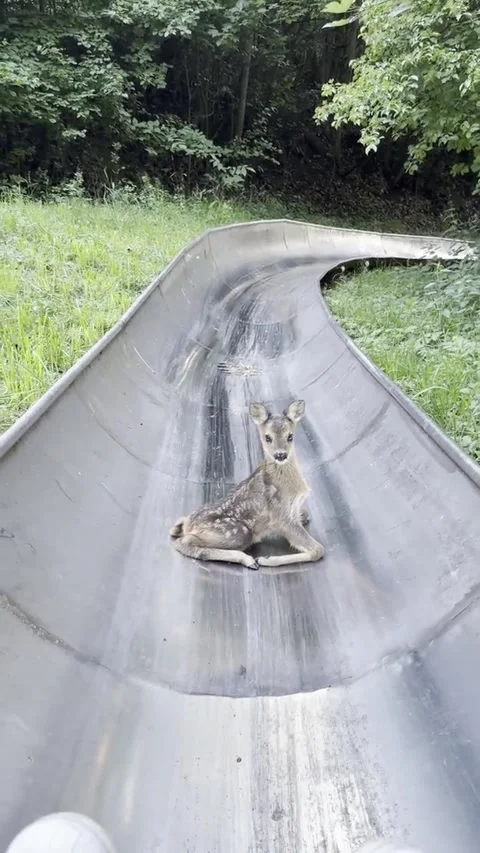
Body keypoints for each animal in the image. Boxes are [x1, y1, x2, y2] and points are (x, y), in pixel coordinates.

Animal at [170, 400, 325, 570]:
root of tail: (188, 524)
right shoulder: (279, 516)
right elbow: (318, 550)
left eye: (290, 436)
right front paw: (266, 559)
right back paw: (249, 560)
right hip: (239, 532)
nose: (280, 455)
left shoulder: (294, 510)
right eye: (267, 437)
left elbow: (306, 516)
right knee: (184, 541)